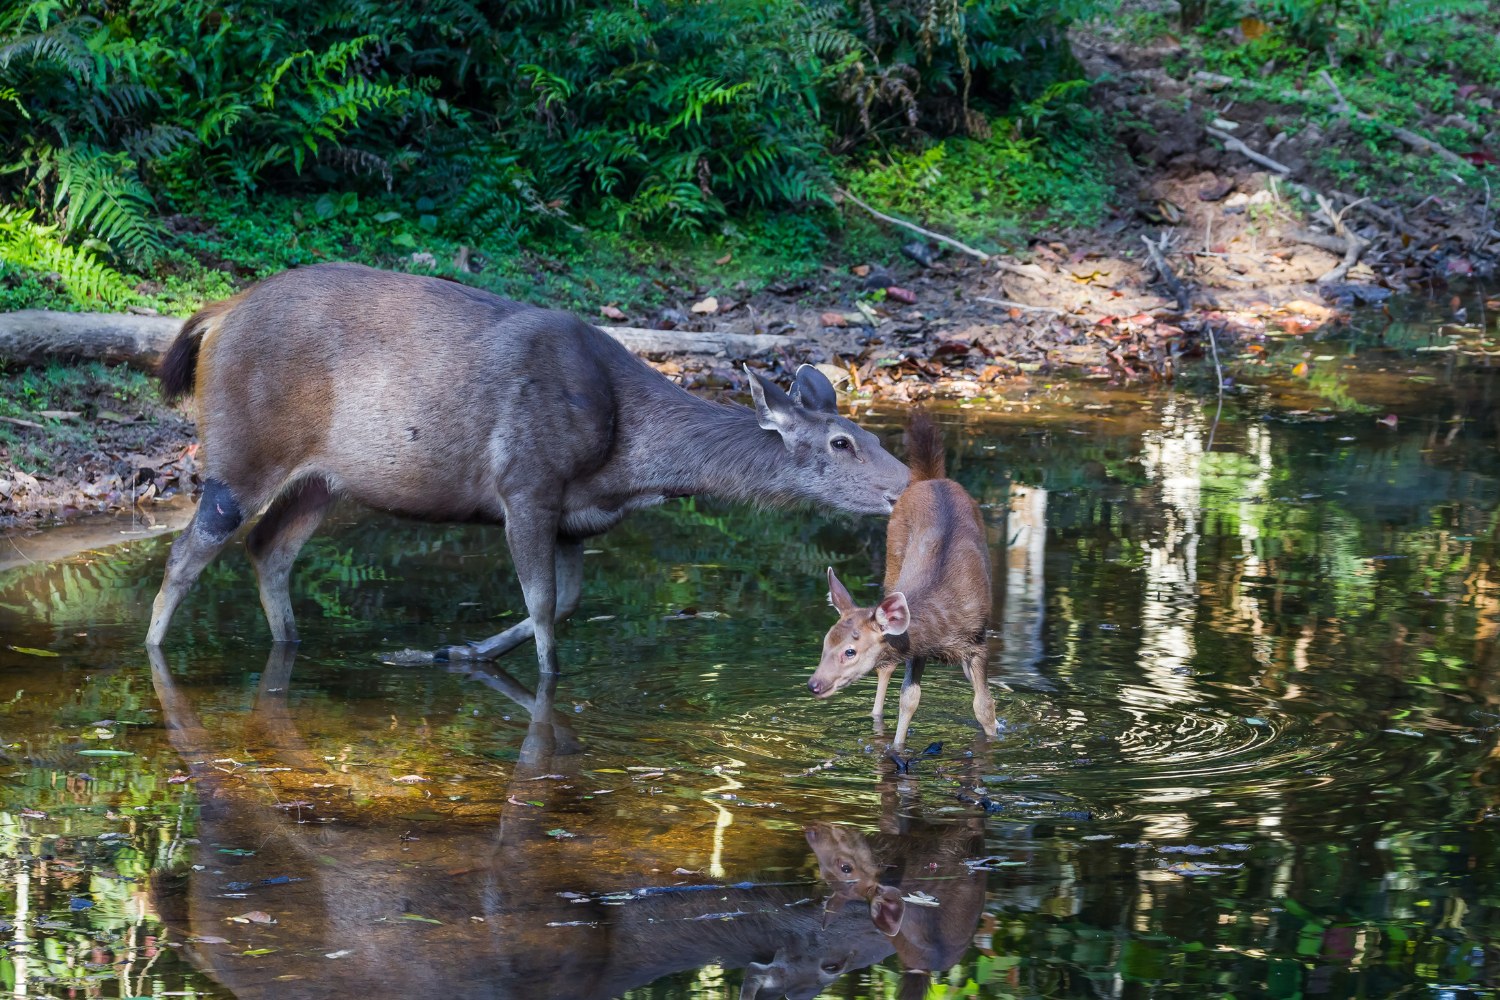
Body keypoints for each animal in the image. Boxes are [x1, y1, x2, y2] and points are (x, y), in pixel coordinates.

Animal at [144, 262, 909, 676]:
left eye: (864, 433)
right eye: (840, 443)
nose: (905, 485)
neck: (629, 460)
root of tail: (214, 316)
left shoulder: (576, 519)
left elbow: (563, 603)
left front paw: (455, 653)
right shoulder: (525, 485)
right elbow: (543, 607)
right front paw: (541, 678)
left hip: (323, 481)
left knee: (268, 548)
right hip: (242, 449)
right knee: (191, 551)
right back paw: (154, 651)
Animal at [808, 411, 997, 748]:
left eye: (850, 651)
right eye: (825, 642)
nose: (814, 684)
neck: (942, 631)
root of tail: (929, 478)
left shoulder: (979, 641)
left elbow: (983, 706)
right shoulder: (916, 651)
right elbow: (909, 699)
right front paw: (896, 748)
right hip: (892, 565)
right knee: (885, 669)